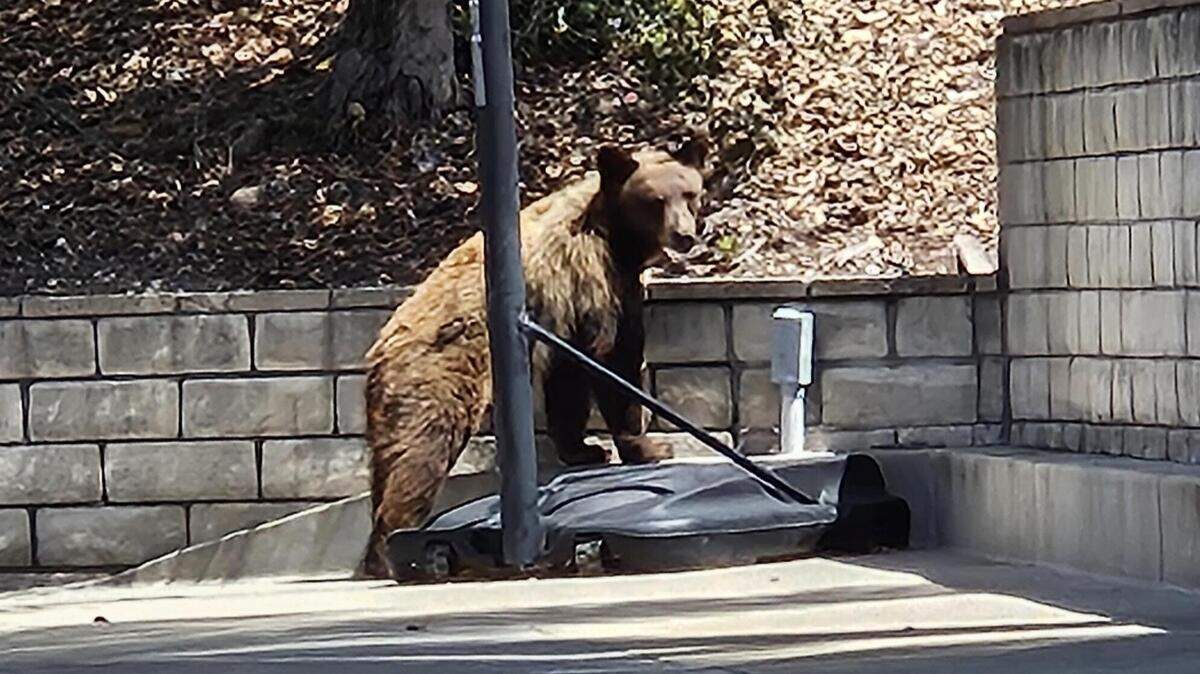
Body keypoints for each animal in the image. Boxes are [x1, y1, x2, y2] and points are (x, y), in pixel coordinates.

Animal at [362, 136, 709, 578]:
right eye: (655, 201)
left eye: (690, 194)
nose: (685, 235)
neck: (618, 239)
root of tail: (380, 351)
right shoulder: (596, 281)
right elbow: (614, 360)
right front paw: (648, 446)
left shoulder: (565, 315)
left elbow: (568, 380)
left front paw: (584, 448)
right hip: (437, 377)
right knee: (421, 454)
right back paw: (392, 550)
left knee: (387, 463)